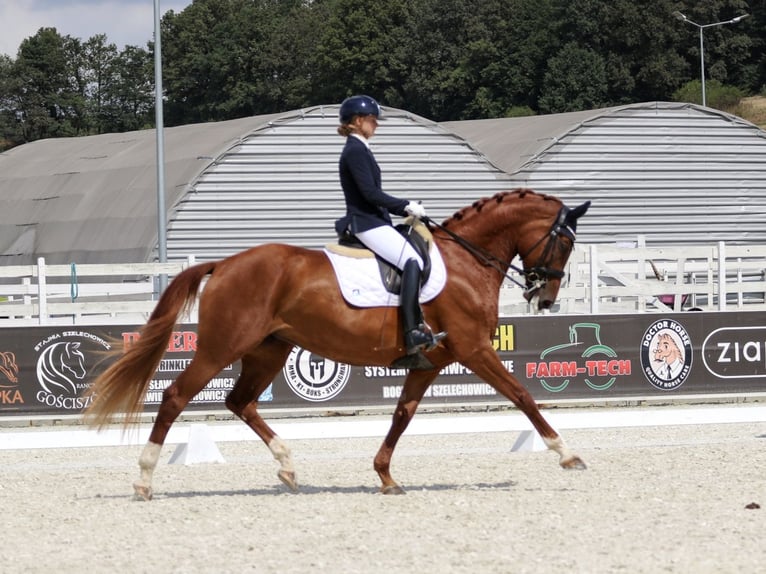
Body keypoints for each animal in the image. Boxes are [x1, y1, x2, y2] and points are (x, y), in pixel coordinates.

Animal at [84, 189, 592, 500]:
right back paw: (145, 480)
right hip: (221, 347)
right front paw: (567, 453)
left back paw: (288, 467)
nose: (545, 299)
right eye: (565, 244)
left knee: (240, 401)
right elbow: (522, 395)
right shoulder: (473, 349)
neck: (466, 262)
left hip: (269, 350)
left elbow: (403, 414)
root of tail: (224, 263)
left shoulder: (430, 361)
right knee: (175, 396)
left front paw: (385, 475)